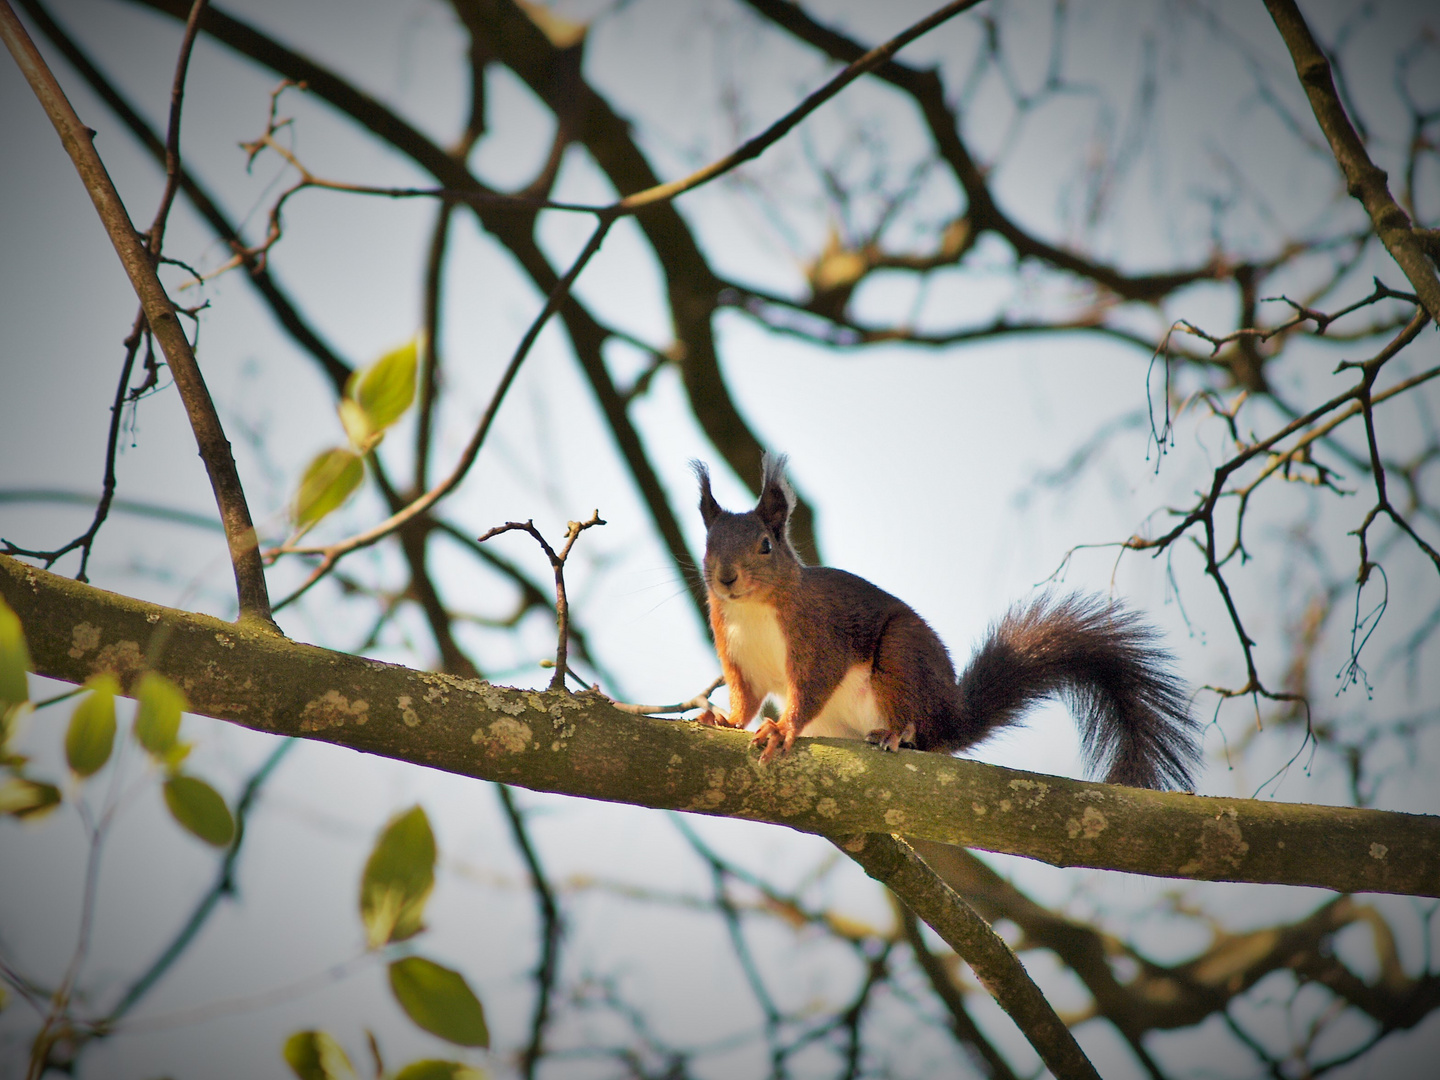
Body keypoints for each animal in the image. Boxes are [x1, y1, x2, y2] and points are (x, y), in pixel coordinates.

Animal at [691, 452, 1198, 789]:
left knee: (915, 722)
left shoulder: (819, 634)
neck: (752, 610)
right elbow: (746, 697)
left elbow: (812, 685)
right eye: (708, 544)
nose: (726, 577)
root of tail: (952, 716)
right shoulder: (737, 655)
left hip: (901, 659)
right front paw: (726, 719)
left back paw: (897, 733)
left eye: (765, 545)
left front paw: (782, 728)